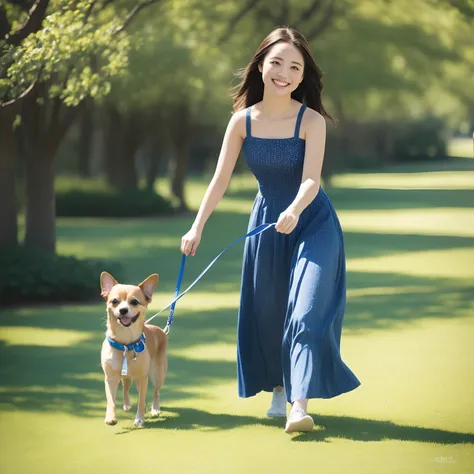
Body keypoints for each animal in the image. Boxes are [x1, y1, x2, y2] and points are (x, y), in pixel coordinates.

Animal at [99, 270, 168, 426]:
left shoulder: (142, 379)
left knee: (156, 391)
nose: (123, 310)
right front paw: (110, 417)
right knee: (125, 386)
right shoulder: (110, 378)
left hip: (157, 374)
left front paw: (140, 418)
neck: (125, 343)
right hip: (127, 376)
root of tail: (161, 330)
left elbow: (141, 401)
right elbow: (111, 400)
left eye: (134, 302)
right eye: (114, 301)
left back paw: (155, 409)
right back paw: (126, 405)